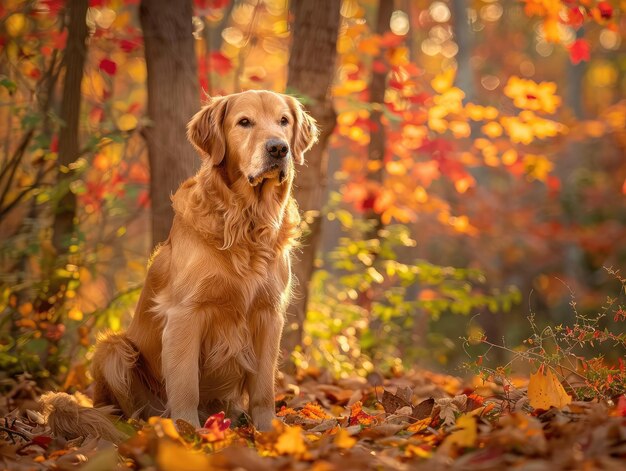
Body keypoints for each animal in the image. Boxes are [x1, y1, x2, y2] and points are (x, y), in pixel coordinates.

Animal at [90, 89, 316, 432]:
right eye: (244, 122)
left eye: (284, 121)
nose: (278, 148)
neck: (245, 222)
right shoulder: (185, 313)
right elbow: (185, 385)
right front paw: (187, 433)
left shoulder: (269, 314)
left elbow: (264, 388)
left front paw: (268, 432)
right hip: (113, 349)